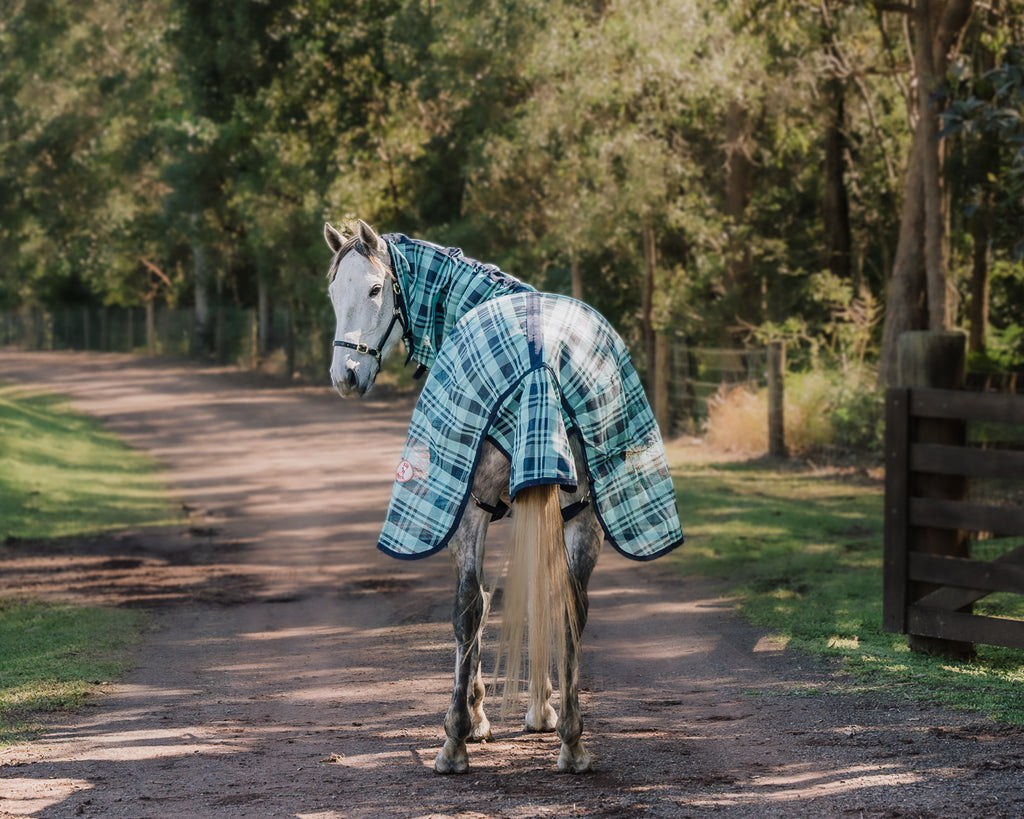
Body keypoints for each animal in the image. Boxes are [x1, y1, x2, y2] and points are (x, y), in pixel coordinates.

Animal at [324, 219, 683, 775]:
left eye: (375, 289)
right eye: (333, 293)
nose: (346, 377)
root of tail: (541, 363)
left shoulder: (477, 510)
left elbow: (479, 604)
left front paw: (480, 714)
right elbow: (535, 596)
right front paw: (542, 711)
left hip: (472, 510)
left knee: (470, 606)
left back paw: (454, 741)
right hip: (584, 514)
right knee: (571, 607)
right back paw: (573, 743)